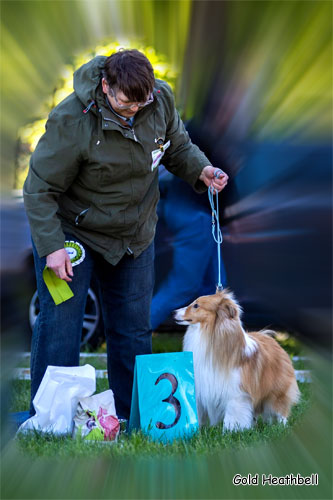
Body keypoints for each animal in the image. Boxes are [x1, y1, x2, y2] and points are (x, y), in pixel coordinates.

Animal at [174, 292, 298, 432]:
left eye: (196, 305)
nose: (173, 312)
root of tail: (272, 340)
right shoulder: (201, 387)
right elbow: (199, 412)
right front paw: (196, 429)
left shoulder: (237, 394)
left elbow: (232, 416)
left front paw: (229, 432)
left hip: (276, 392)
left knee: (281, 410)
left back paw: (282, 427)